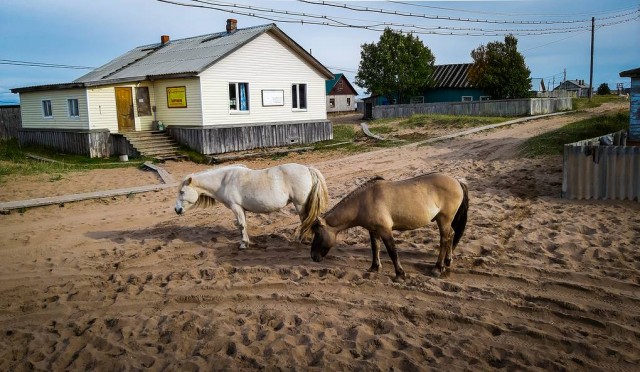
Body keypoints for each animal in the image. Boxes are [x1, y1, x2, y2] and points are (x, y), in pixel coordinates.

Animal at [174, 163, 328, 248]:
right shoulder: (242, 209)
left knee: (306, 220)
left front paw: (243, 244)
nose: (177, 210)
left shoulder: (236, 207)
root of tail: (307, 168)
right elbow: (244, 225)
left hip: (300, 204)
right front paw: (246, 241)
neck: (224, 180)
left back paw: (302, 239)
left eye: (182, 192)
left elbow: (241, 225)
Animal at [312, 173, 470, 280]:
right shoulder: (374, 230)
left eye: (317, 233)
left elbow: (392, 251)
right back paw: (447, 261)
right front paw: (374, 267)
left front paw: (400, 274)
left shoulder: (385, 230)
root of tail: (457, 181)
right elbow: (375, 248)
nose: (313, 256)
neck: (364, 201)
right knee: (451, 235)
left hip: (444, 219)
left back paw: (437, 268)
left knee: (444, 240)